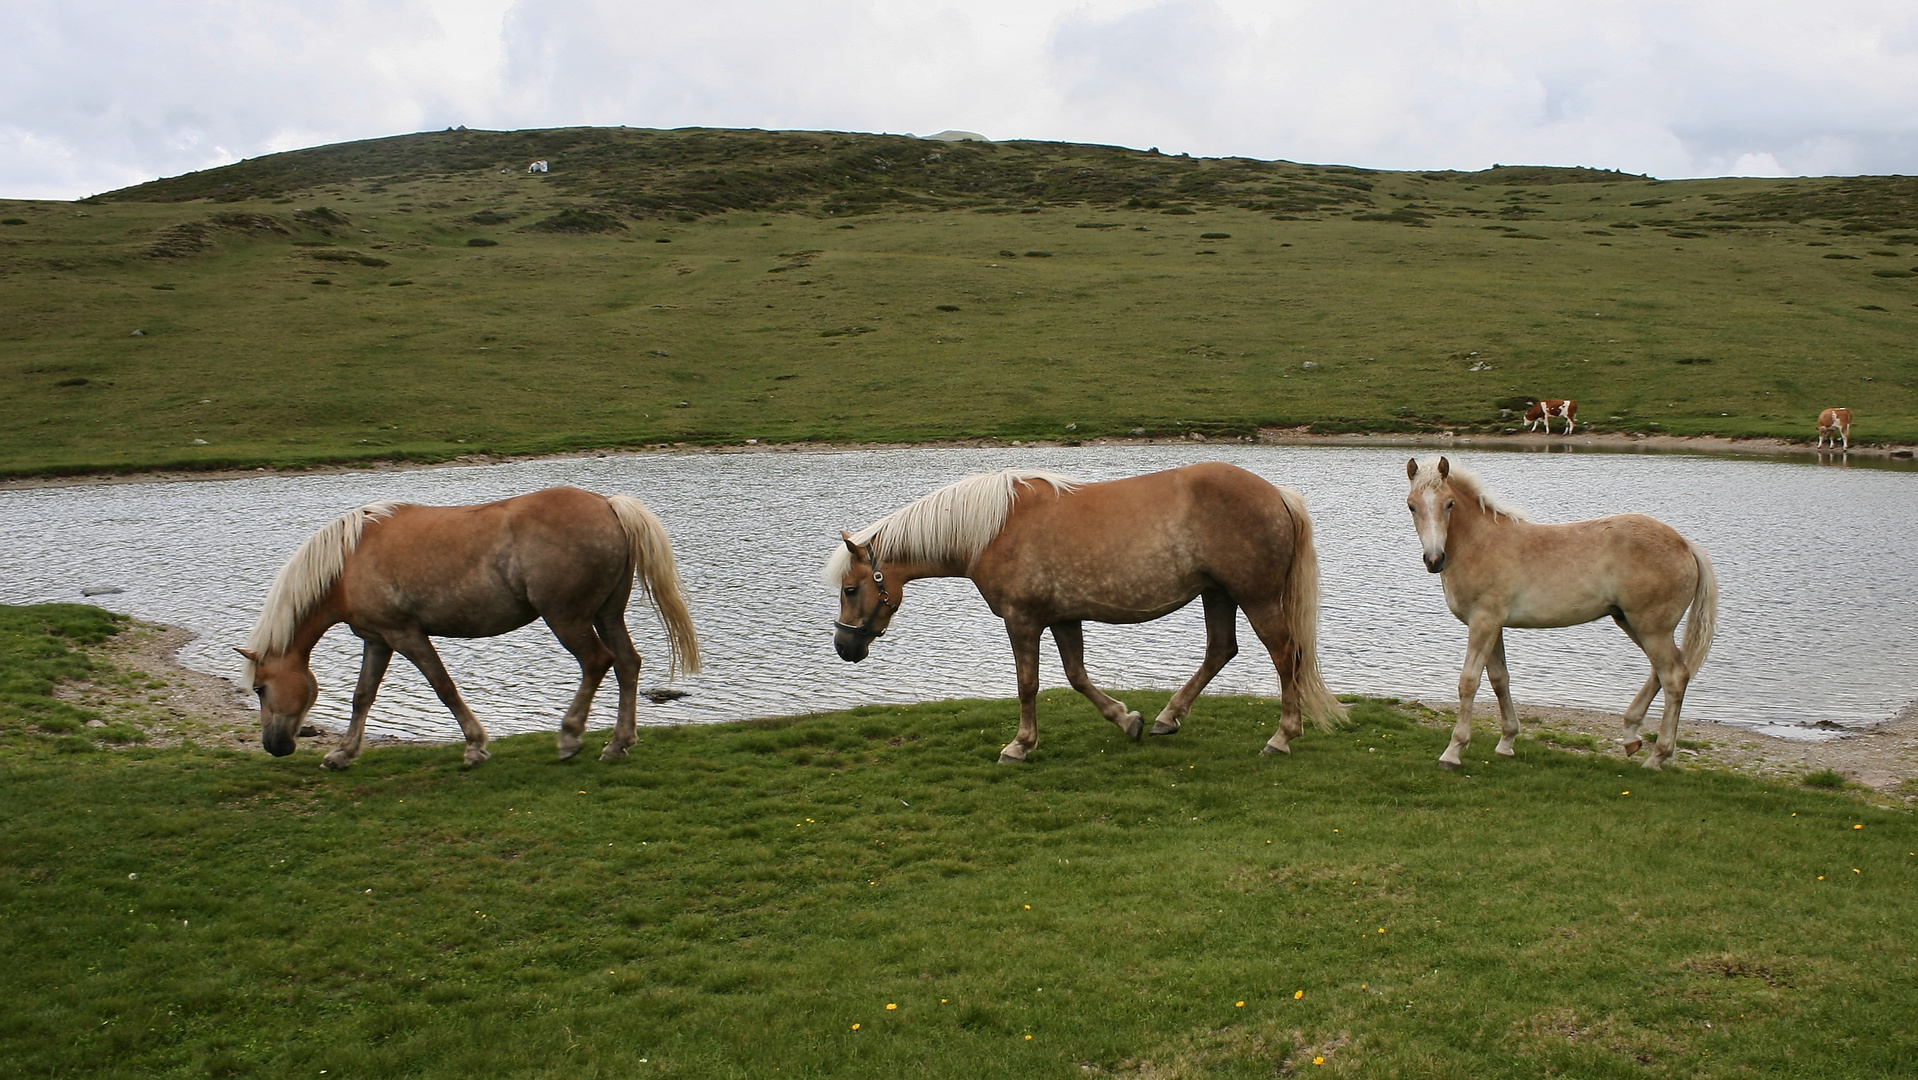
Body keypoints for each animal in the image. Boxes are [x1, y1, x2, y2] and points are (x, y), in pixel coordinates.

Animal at [238, 491, 701, 767]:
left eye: (260, 688)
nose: (274, 745)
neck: (348, 561)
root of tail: (608, 504)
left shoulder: (407, 635)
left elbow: (444, 687)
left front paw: (475, 745)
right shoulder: (377, 639)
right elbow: (362, 696)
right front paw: (342, 753)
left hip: (567, 618)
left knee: (596, 662)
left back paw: (570, 737)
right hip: (606, 614)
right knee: (626, 664)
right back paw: (618, 743)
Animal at [824, 462, 1350, 759]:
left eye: (850, 589)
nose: (844, 646)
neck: (993, 528)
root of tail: (1277, 494)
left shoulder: (1023, 620)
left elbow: (1028, 684)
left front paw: (1020, 744)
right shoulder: (1062, 618)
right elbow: (1077, 676)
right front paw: (1127, 720)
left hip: (1254, 597)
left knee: (1285, 657)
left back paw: (1282, 737)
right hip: (1217, 593)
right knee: (1221, 650)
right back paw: (1168, 717)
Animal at [1403, 456, 1718, 767]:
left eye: (1449, 504)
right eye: (1412, 505)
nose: (1434, 559)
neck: (1480, 543)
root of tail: (1684, 544)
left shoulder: (1484, 622)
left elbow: (1469, 682)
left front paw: (1453, 751)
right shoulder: (1493, 625)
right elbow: (1499, 680)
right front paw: (1507, 742)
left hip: (1652, 628)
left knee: (1674, 676)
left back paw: (1657, 756)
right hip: (1631, 622)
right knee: (1661, 672)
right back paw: (1631, 737)